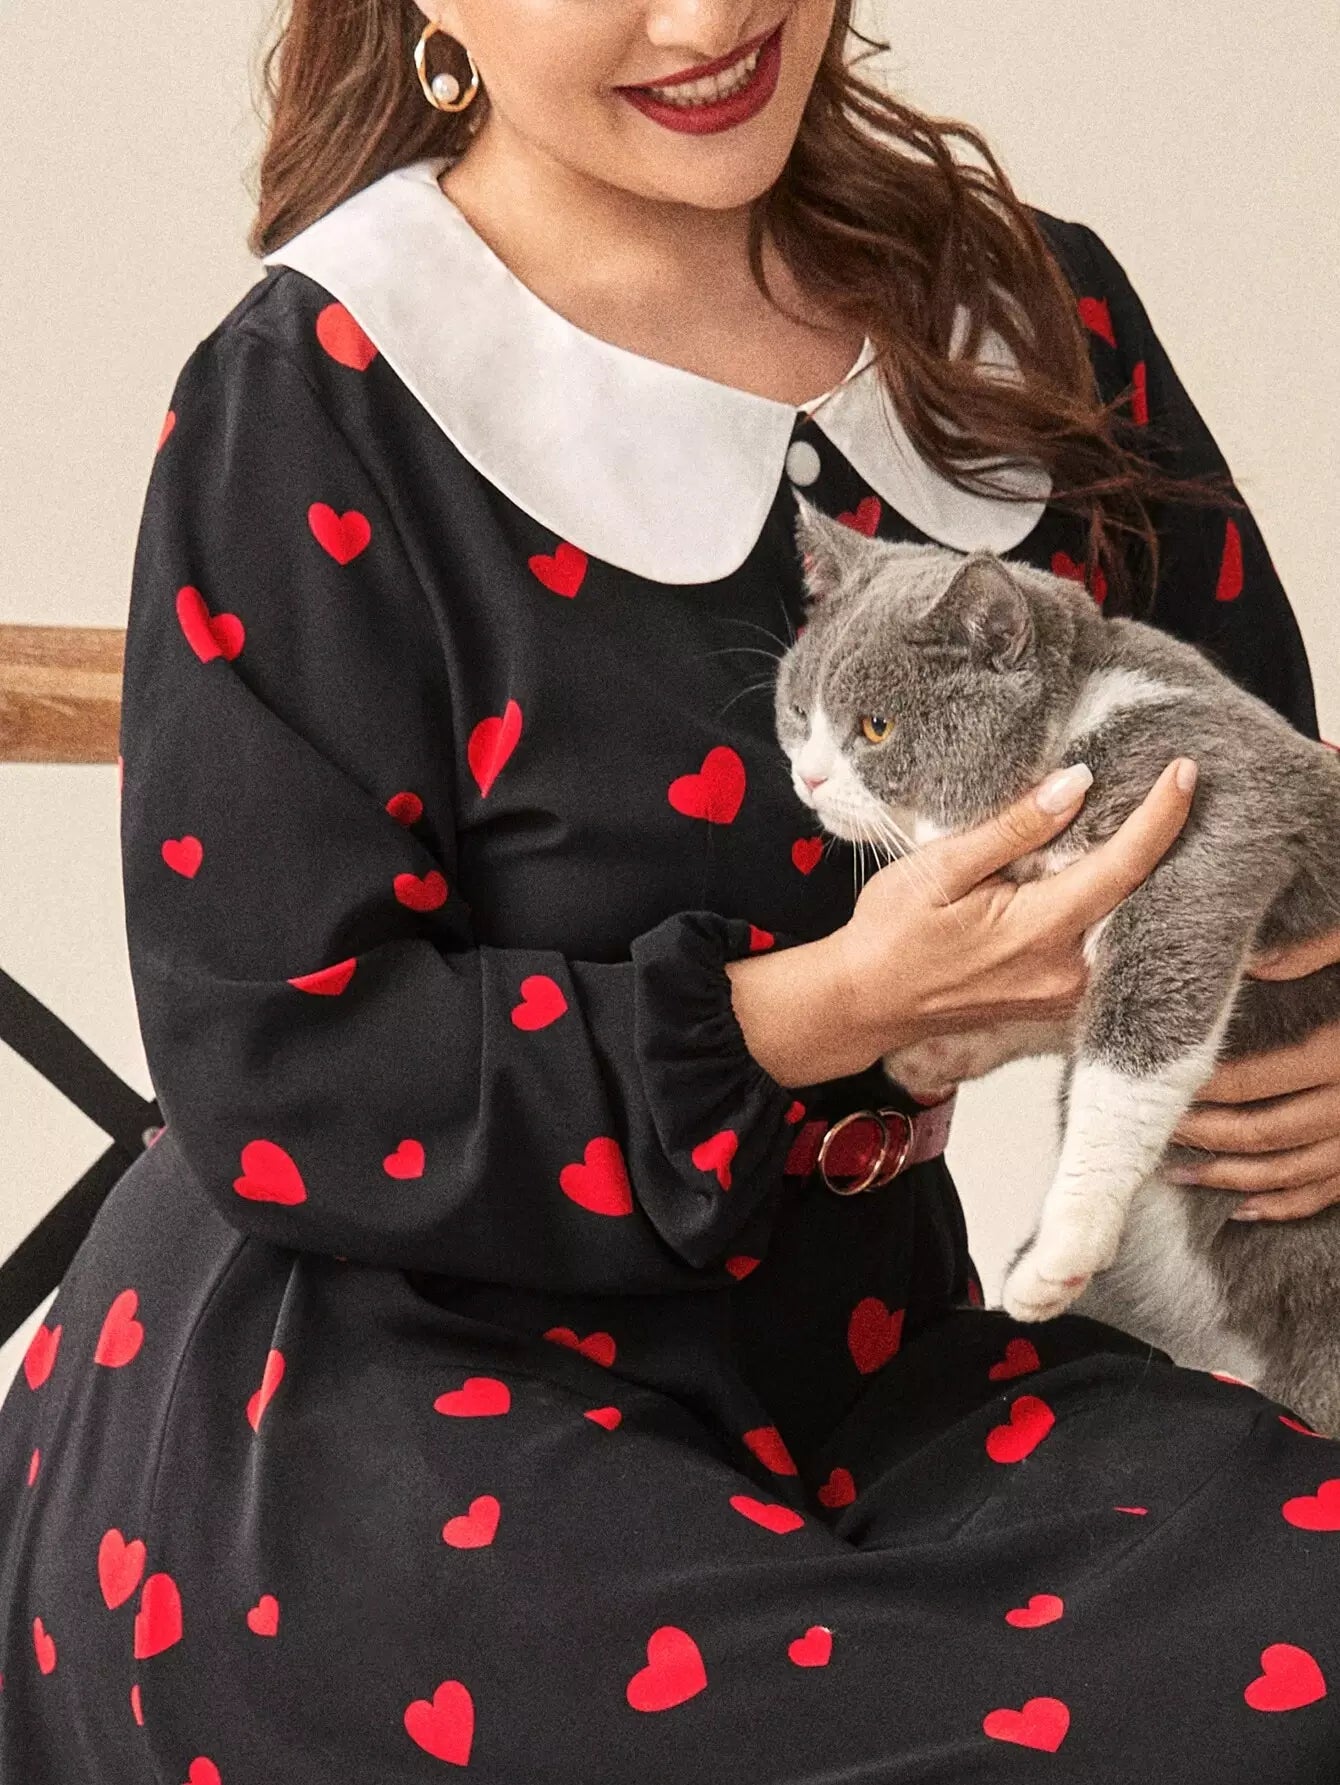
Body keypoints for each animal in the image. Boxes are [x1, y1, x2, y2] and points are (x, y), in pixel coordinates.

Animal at [776, 491, 1340, 1434]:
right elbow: (1042, 1014)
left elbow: (1134, 1048)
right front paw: (933, 1050)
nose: (809, 777)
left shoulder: (1199, 827)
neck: (1077, 723)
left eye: (876, 728)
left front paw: (1055, 1256)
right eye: (797, 710)